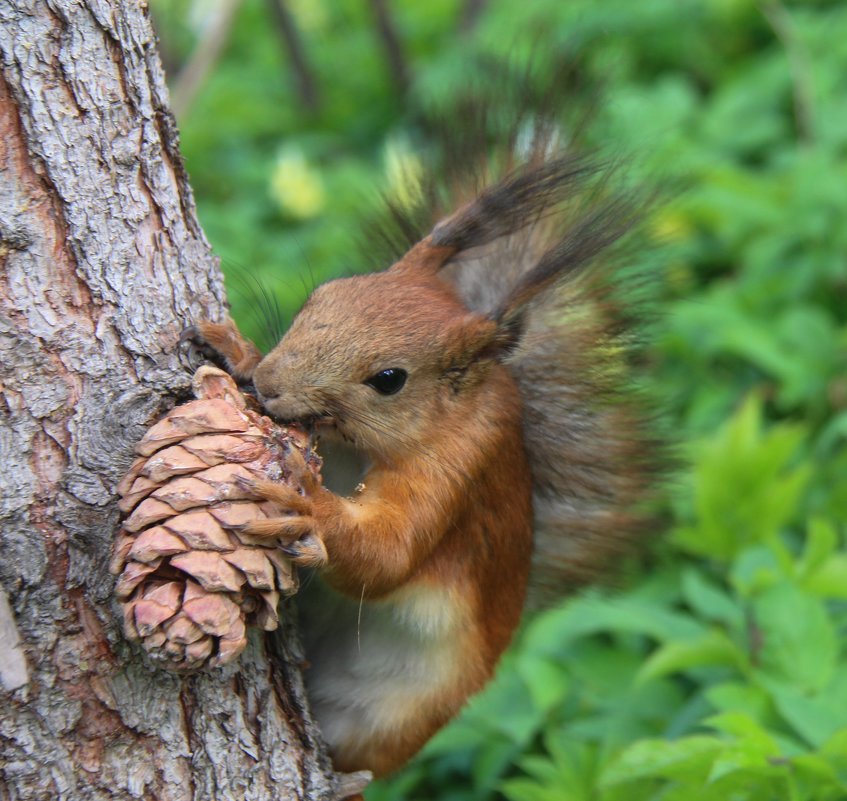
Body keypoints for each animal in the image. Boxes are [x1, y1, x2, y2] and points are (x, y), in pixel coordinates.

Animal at [187, 87, 664, 780]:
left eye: (389, 379)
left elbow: (388, 556)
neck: (353, 449)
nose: (271, 386)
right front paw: (240, 352)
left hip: (393, 719)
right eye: (323, 293)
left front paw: (310, 509)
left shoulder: (458, 471)